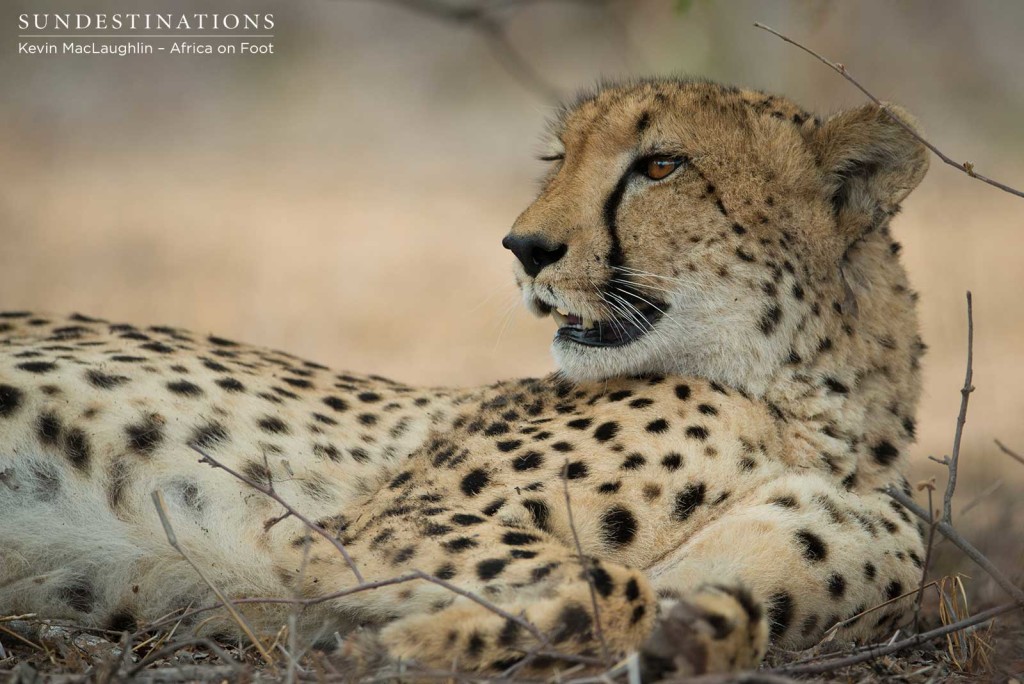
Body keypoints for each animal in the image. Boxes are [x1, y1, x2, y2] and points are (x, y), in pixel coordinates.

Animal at [0, 77, 929, 675]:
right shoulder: (357, 527)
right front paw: (392, 650)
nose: (525, 248)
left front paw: (401, 646)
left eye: (661, 166)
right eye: (558, 157)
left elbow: (689, 602)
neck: (810, 408)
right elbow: (615, 580)